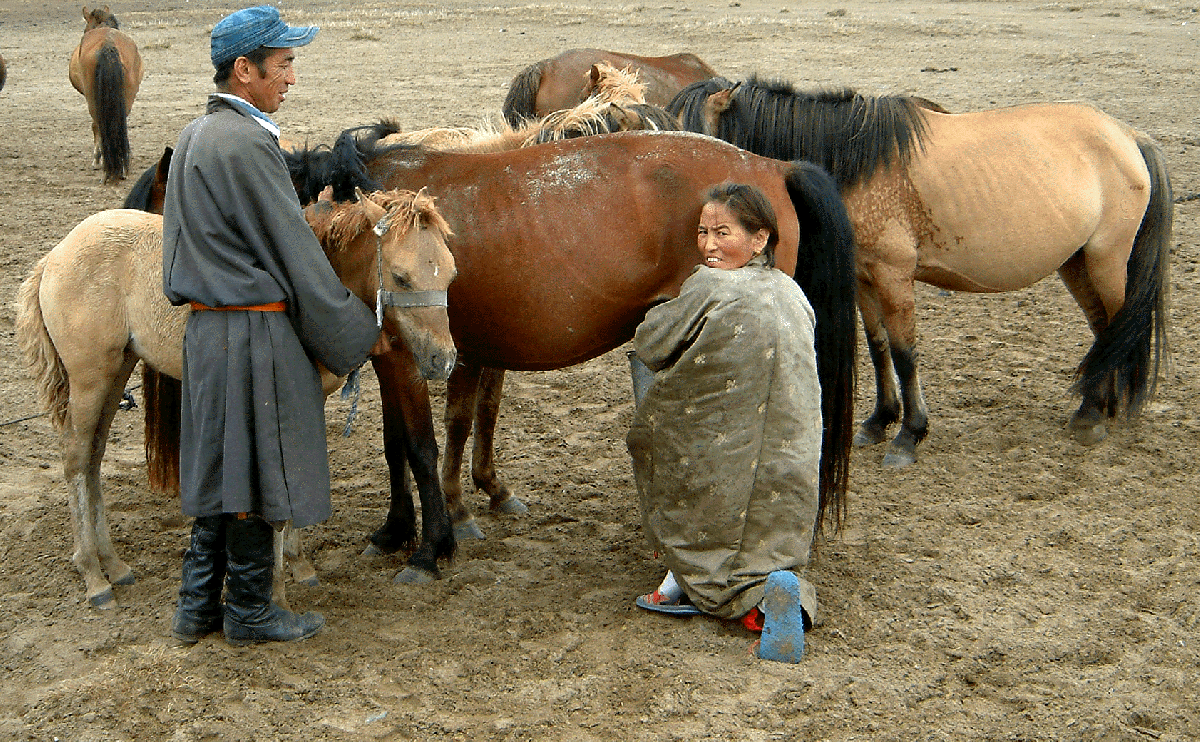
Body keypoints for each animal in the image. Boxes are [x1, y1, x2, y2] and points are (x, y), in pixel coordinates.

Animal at [16, 189, 456, 607]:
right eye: (401, 277)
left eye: (450, 275)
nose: (444, 359)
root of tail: (54, 257)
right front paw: (278, 588)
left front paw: (299, 564)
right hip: (89, 380)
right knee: (76, 460)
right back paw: (93, 574)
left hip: (115, 372)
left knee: (93, 459)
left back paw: (114, 563)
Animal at [286, 127, 859, 569]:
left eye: (411, 276)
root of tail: (774, 165)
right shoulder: (402, 356)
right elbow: (401, 444)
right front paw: (398, 529)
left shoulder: (409, 358)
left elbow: (421, 445)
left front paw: (430, 545)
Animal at [672, 76, 1176, 468]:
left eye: (692, 143)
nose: (699, 229)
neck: (857, 161)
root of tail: (1129, 136)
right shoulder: (865, 278)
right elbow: (878, 349)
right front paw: (880, 421)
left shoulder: (894, 277)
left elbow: (904, 353)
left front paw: (910, 434)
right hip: (1076, 263)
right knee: (1104, 330)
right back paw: (1099, 406)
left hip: (1106, 260)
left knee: (1119, 324)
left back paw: (1095, 415)